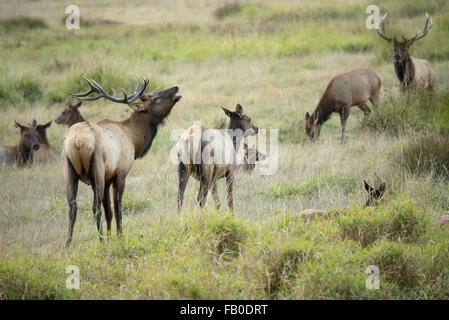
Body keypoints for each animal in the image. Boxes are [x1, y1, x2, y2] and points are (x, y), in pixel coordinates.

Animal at [63, 75, 182, 248]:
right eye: (155, 97)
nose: (176, 88)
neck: (133, 138)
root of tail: (77, 141)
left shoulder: (107, 179)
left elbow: (109, 212)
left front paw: (111, 238)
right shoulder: (120, 175)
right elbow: (118, 209)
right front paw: (119, 237)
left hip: (69, 172)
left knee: (73, 207)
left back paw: (67, 245)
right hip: (97, 172)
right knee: (95, 207)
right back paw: (100, 242)